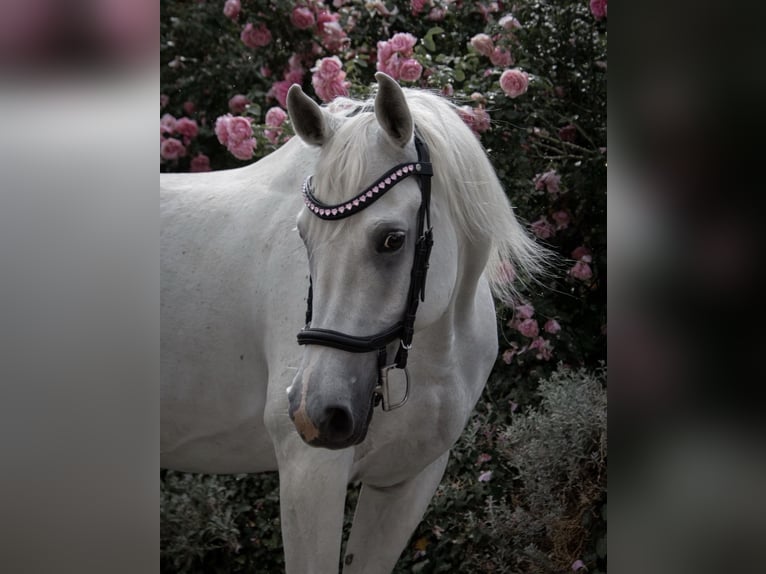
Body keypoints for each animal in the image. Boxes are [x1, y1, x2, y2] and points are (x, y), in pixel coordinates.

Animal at [161, 72, 546, 573]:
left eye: (392, 239)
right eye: (303, 236)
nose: (315, 412)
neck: (433, 354)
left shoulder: (407, 480)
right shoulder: (311, 474)